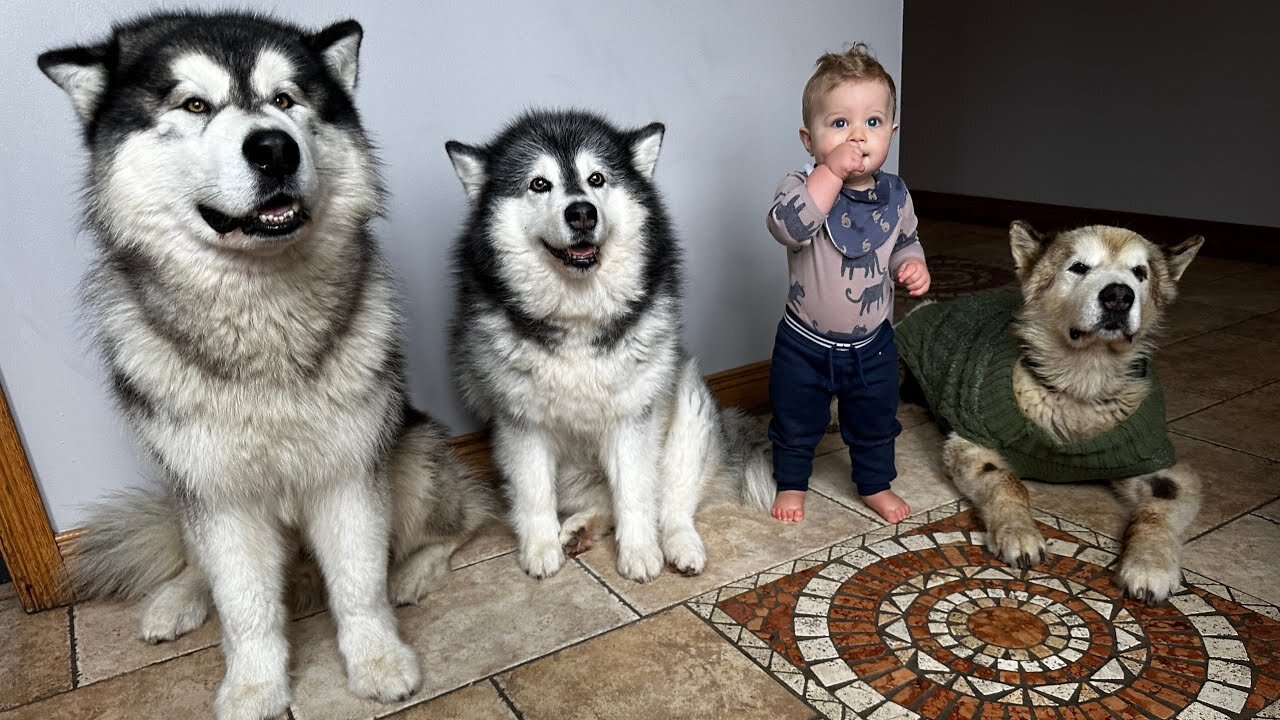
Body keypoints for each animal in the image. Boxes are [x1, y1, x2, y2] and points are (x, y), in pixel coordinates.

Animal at [40, 12, 488, 717]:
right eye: (194, 105)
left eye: (285, 100)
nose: (275, 147)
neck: (261, 315)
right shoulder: (217, 492)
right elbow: (245, 605)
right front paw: (254, 685)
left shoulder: (349, 471)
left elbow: (359, 586)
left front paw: (378, 659)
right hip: (184, 486)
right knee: (199, 563)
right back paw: (178, 598)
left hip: (412, 456)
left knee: (457, 520)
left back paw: (413, 571)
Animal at [445, 112, 773, 584]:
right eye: (539, 184)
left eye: (596, 178)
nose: (582, 212)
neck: (577, 317)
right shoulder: (521, 424)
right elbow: (534, 493)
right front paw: (540, 547)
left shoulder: (631, 419)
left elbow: (636, 496)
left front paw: (639, 553)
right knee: (603, 503)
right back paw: (580, 529)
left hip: (689, 407)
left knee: (670, 504)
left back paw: (680, 545)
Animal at [896, 221, 1203, 602]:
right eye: (1078, 267)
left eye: (1140, 273)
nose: (1119, 296)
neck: (1080, 383)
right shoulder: (973, 441)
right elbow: (1006, 481)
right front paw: (1017, 531)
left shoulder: (1157, 463)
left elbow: (1156, 513)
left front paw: (1150, 563)